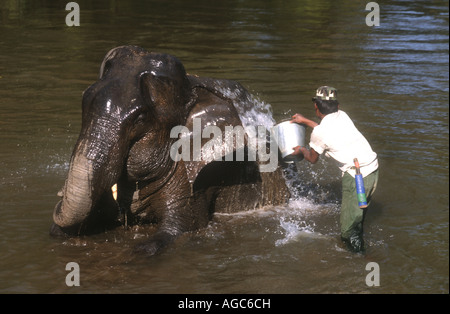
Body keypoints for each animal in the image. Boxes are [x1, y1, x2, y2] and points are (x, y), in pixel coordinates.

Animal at [51, 45, 290, 256]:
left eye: (140, 118)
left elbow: (179, 228)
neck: (192, 87)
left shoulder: (206, 175)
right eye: (83, 100)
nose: (59, 197)